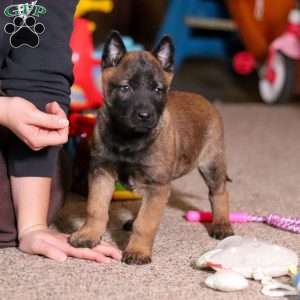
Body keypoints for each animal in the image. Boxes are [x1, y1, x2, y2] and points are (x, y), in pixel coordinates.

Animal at [69, 31, 233, 264]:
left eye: (157, 90)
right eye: (125, 88)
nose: (145, 115)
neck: (127, 140)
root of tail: (204, 100)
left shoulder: (157, 185)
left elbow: (146, 223)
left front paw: (138, 250)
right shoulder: (102, 173)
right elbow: (96, 208)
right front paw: (89, 234)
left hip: (211, 164)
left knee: (219, 193)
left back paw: (221, 224)